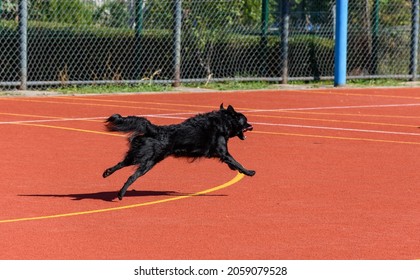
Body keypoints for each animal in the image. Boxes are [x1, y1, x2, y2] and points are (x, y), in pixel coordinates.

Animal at [103, 104, 254, 200]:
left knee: (121, 163)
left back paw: (107, 173)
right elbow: (237, 162)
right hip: (149, 161)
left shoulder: (222, 153)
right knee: (132, 176)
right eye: (245, 120)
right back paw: (120, 194)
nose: (251, 126)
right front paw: (249, 172)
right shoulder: (223, 152)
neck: (223, 121)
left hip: (139, 155)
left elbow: (233, 163)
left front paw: (236, 169)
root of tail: (156, 129)